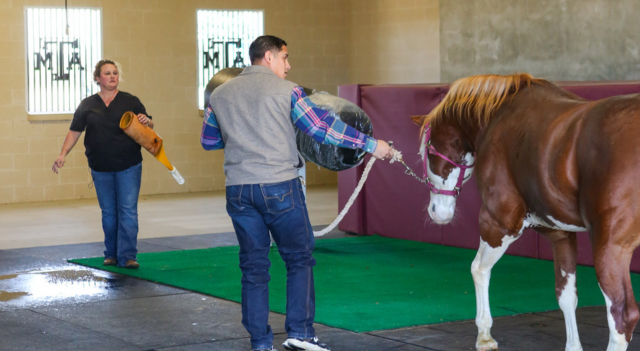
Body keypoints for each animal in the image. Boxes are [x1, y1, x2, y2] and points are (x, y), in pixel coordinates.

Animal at [410, 73, 640, 350]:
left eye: (426, 152)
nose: (437, 212)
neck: (497, 116)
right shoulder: (560, 233)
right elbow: (566, 295)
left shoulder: (499, 222)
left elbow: (478, 269)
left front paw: (484, 336)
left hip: (609, 247)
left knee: (621, 316)